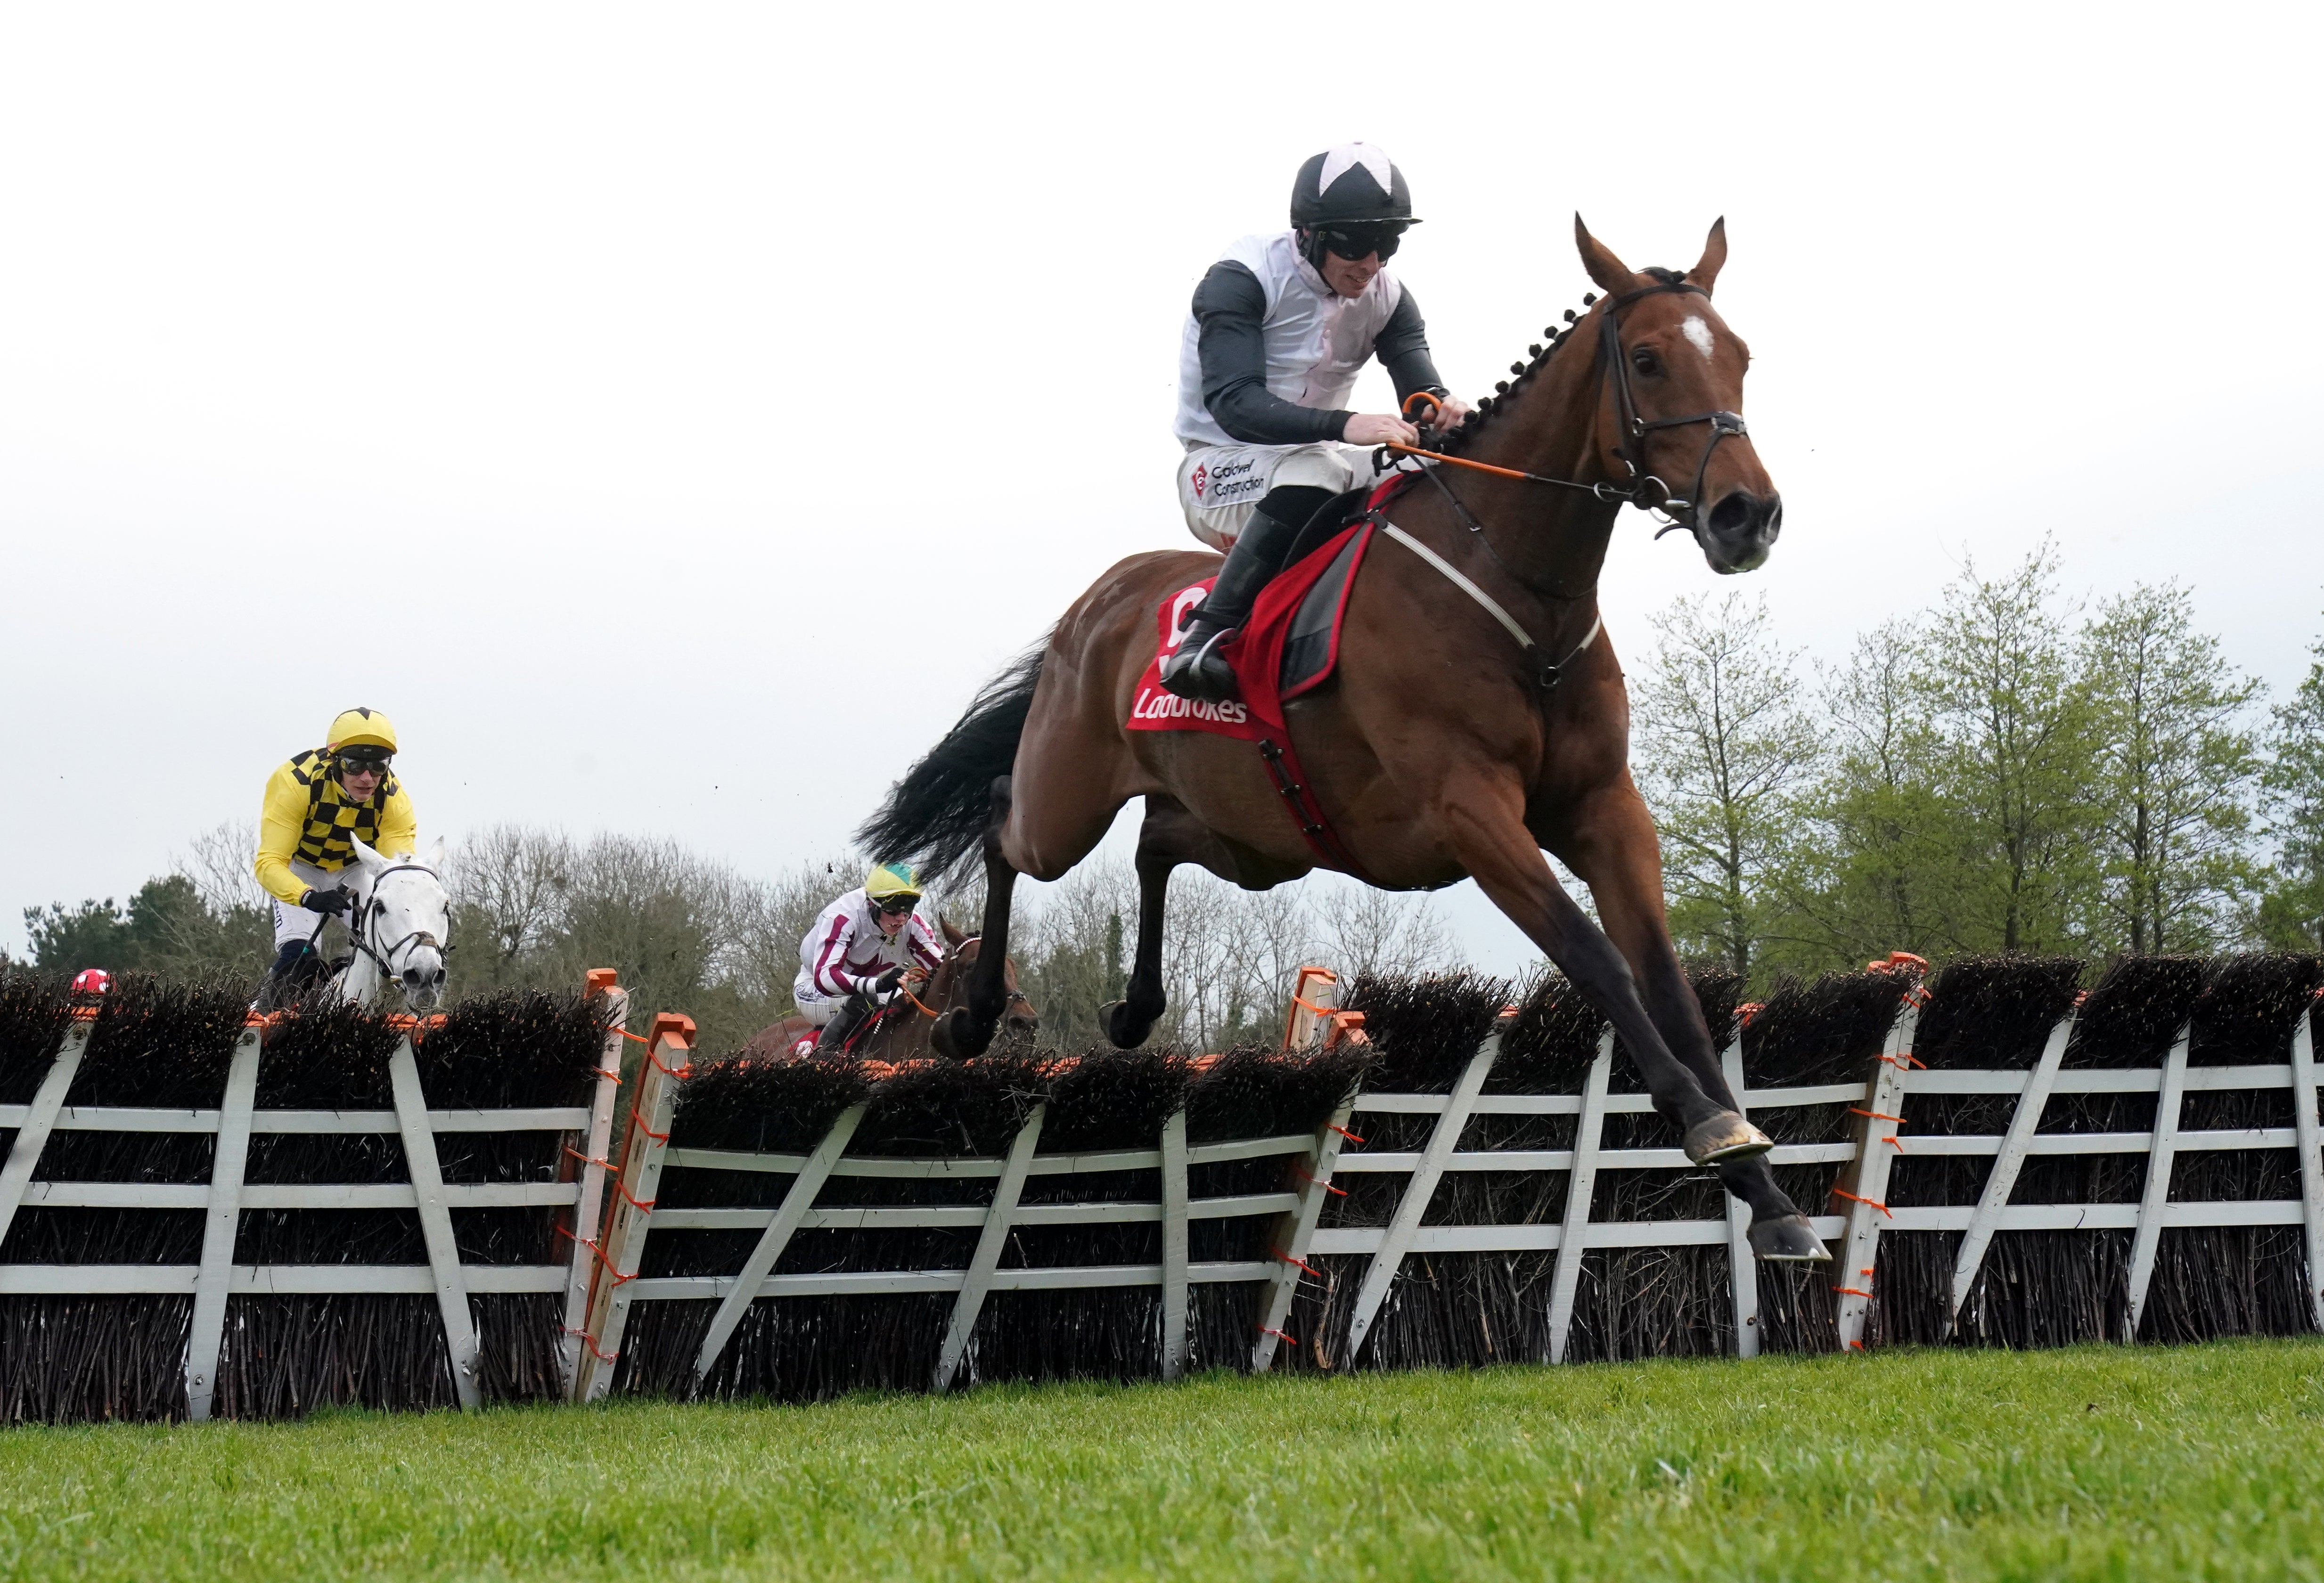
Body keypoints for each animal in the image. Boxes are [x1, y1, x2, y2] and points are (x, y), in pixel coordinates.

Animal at [864, 220, 1822, 1255]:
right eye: (1646, 360)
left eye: (1740, 357)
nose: (1747, 515)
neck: (1516, 592)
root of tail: (1096, 604)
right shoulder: (1471, 811)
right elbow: (1596, 958)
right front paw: (1714, 1130)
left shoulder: (1605, 807)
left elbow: (1667, 978)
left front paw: (1766, 1190)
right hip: (1068, 804)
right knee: (1006, 827)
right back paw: (972, 1018)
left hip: (1261, 839)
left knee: (1157, 841)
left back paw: (1135, 1009)